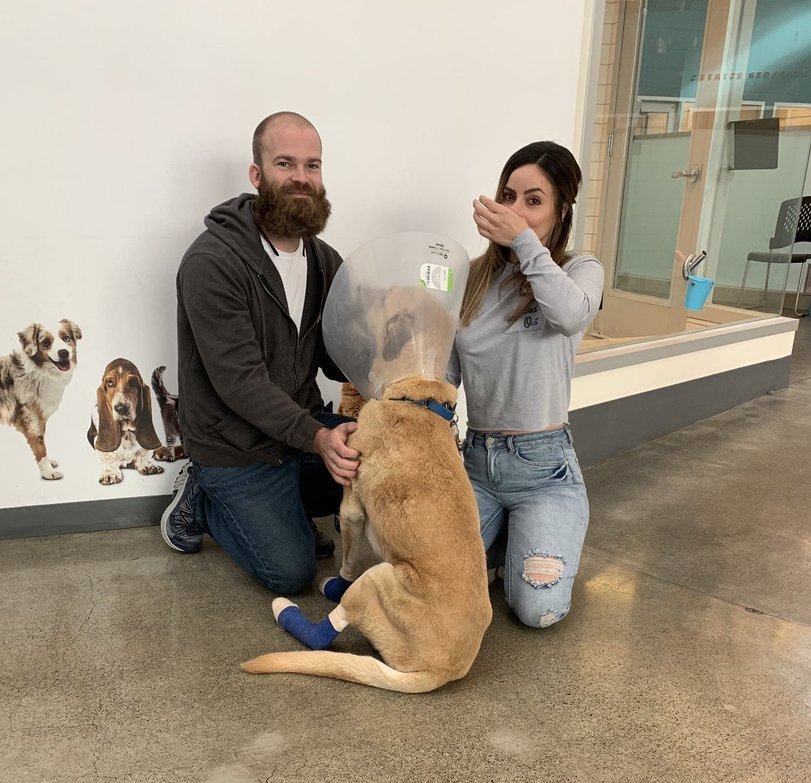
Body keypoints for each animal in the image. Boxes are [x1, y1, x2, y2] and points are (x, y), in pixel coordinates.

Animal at [241, 376, 492, 696]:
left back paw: (287, 610)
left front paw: (337, 583)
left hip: (377, 578)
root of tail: (442, 672)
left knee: (323, 633)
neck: (421, 402)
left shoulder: (350, 508)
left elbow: (347, 558)